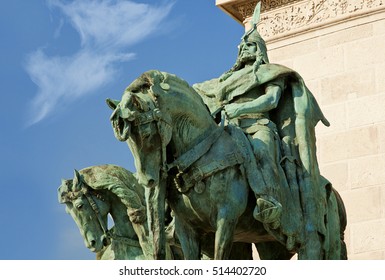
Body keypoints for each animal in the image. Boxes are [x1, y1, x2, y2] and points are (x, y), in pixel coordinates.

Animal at [106, 70, 346, 260]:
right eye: (128, 141)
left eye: (146, 134)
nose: (148, 180)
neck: (203, 151)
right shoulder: (186, 229)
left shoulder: (226, 219)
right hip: (269, 244)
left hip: (314, 240)